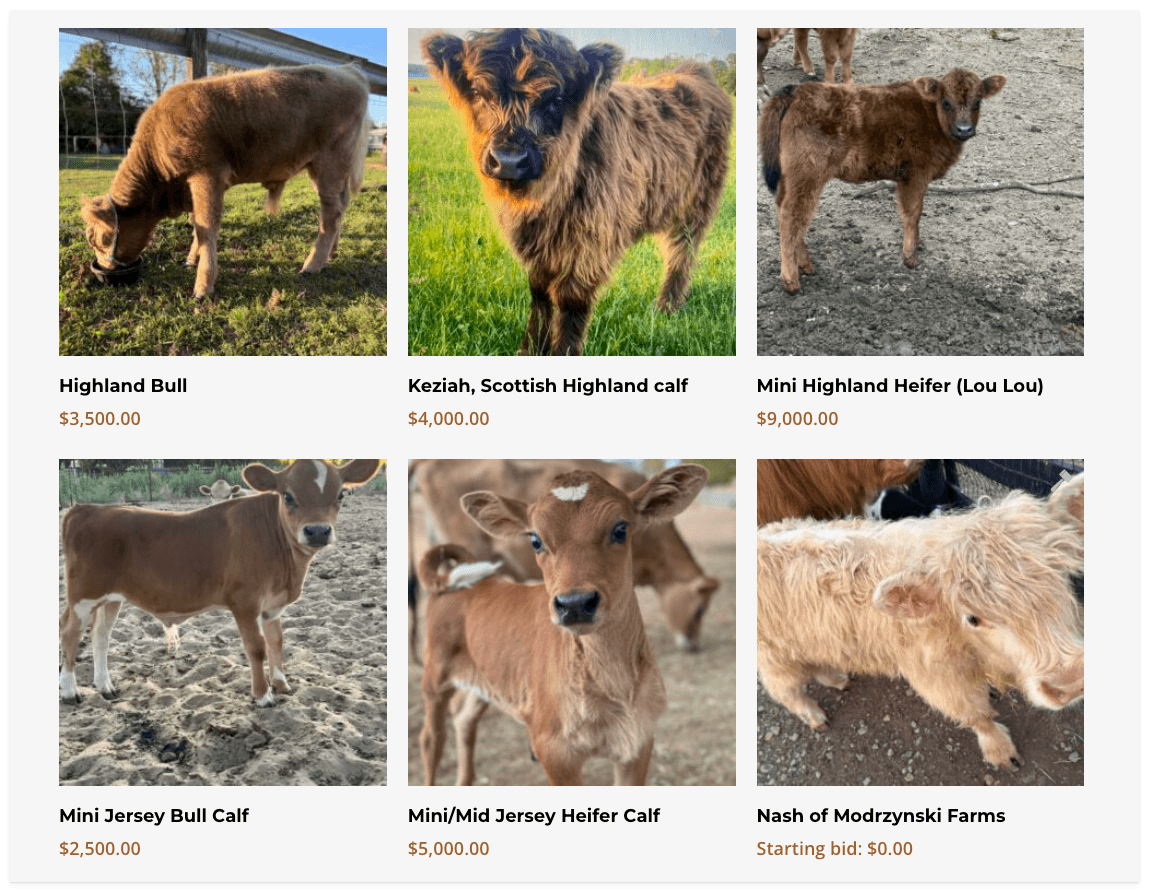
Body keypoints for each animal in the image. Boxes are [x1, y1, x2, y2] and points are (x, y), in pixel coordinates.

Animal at [59, 459, 381, 706]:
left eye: (341, 495)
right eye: (287, 496)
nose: (317, 531)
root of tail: (86, 509)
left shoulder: (272, 606)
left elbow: (276, 641)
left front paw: (281, 683)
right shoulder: (245, 602)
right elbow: (257, 647)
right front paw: (263, 695)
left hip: (111, 597)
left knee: (100, 635)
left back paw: (105, 686)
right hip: (83, 595)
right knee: (70, 633)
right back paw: (70, 691)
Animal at [82, 64, 372, 298]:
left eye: (98, 240)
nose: (103, 269)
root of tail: (348, 70)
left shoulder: (206, 175)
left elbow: (205, 227)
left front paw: (202, 287)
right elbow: (196, 223)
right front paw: (190, 260)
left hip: (330, 162)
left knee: (331, 214)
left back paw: (311, 266)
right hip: (327, 169)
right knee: (341, 207)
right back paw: (330, 254)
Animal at [422, 29, 731, 355]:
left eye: (555, 99)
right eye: (480, 92)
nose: (509, 160)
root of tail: (693, 71)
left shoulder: (590, 241)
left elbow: (571, 301)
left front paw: (563, 351)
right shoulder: (538, 245)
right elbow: (539, 293)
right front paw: (530, 348)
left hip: (697, 204)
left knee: (681, 253)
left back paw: (666, 308)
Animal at [756, 472, 1084, 769]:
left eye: (1063, 578)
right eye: (972, 618)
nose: (1070, 682)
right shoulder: (939, 678)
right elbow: (975, 714)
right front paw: (999, 748)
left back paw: (836, 677)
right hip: (773, 655)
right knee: (784, 689)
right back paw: (813, 714)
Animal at [759, 68, 1007, 293]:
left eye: (978, 102)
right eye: (946, 102)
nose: (964, 129)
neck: (931, 114)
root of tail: (796, 91)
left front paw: (918, 245)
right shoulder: (915, 175)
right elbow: (912, 213)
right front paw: (911, 258)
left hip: (790, 178)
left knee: (784, 209)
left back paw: (805, 265)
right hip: (807, 176)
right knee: (792, 216)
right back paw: (791, 282)